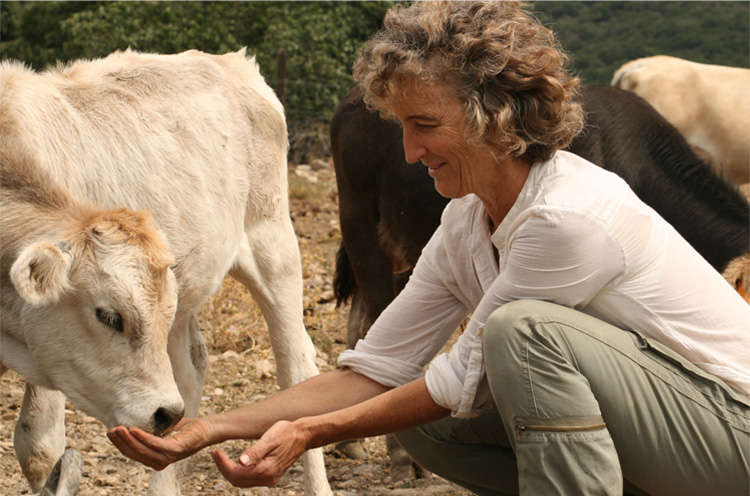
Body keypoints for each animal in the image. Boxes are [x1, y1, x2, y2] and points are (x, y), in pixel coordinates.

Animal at [0, 49, 330, 496]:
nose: (161, 414)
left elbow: (39, 447)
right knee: (190, 370)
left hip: (274, 247)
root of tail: (231, 61)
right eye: (110, 316)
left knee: (297, 369)